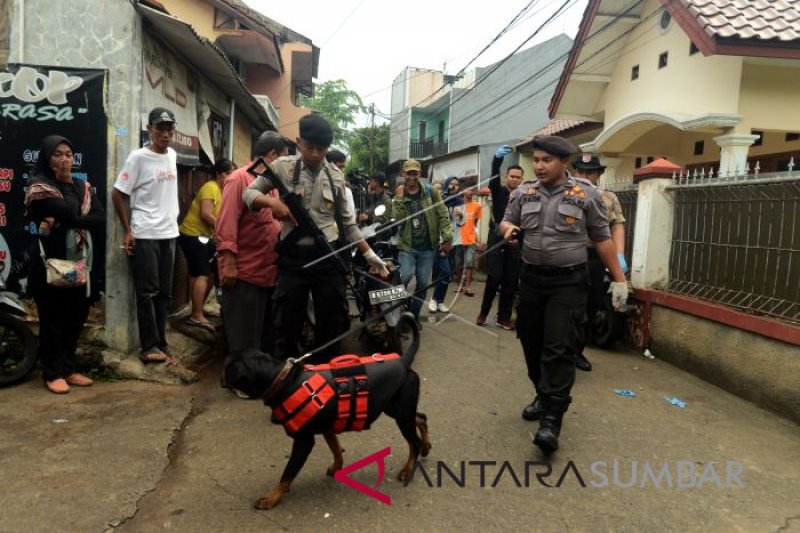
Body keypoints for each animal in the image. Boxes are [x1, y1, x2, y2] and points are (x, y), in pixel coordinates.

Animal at [223, 348, 432, 510]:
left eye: (227, 367)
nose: (221, 377)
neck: (284, 381)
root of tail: (403, 361)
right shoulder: (329, 426)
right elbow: (335, 448)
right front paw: (337, 465)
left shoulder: (304, 440)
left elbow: (288, 472)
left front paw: (272, 497)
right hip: (395, 409)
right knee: (421, 418)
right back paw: (427, 446)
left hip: (401, 413)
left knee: (414, 442)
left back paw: (408, 469)